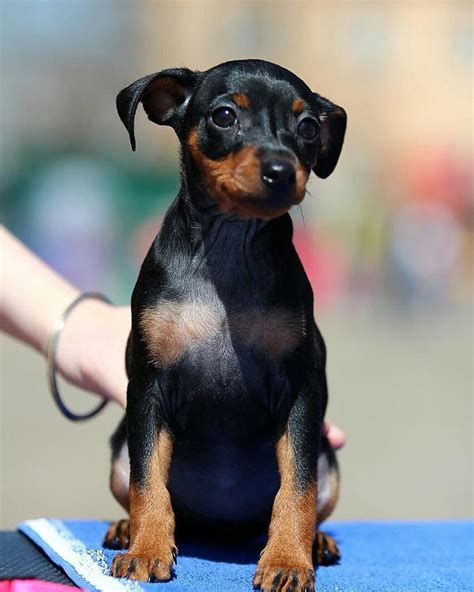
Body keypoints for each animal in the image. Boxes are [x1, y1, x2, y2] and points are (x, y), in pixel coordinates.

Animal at [103, 59, 346, 592]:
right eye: (224, 116)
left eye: (308, 127)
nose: (281, 171)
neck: (231, 248)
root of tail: (221, 529)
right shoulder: (146, 387)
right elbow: (146, 479)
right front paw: (146, 549)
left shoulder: (302, 390)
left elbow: (298, 485)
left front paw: (288, 560)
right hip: (116, 448)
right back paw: (128, 528)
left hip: (331, 462)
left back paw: (316, 541)